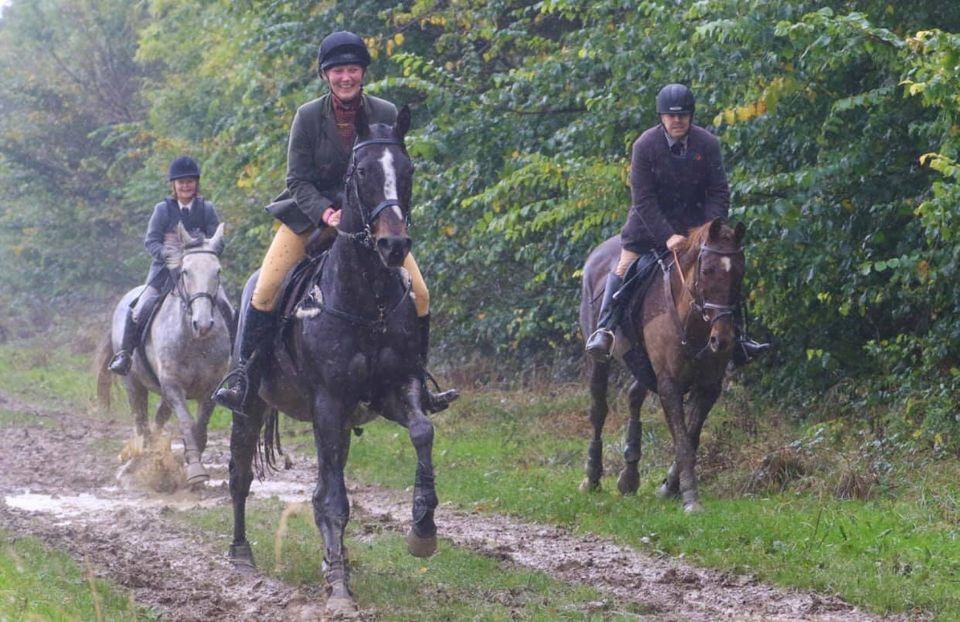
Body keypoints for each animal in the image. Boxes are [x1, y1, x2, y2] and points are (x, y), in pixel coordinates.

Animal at [95, 224, 234, 488]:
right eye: (186, 272)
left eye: (218, 271)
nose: (203, 324)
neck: (195, 341)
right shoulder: (173, 385)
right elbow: (187, 423)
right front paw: (195, 470)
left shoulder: (209, 388)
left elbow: (200, 428)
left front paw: (187, 464)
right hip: (134, 383)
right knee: (141, 422)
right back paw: (136, 464)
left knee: (158, 420)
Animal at [227, 107, 436, 620]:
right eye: (361, 172)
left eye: (408, 171)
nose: (394, 245)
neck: (368, 300)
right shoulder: (327, 402)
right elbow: (334, 501)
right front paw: (338, 588)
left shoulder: (395, 389)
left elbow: (423, 432)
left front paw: (422, 530)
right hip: (250, 406)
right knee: (240, 476)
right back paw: (241, 555)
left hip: (338, 423)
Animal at [576, 222, 744, 516]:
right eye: (707, 271)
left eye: (739, 272)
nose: (722, 340)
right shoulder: (669, 384)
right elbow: (684, 442)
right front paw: (690, 498)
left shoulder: (708, 387)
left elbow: (691, 437)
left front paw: (670, 487)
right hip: (599, 360)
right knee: (598, 410)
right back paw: (592, 477)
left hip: (642, 364)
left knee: (634, 397)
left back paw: (629, 477)